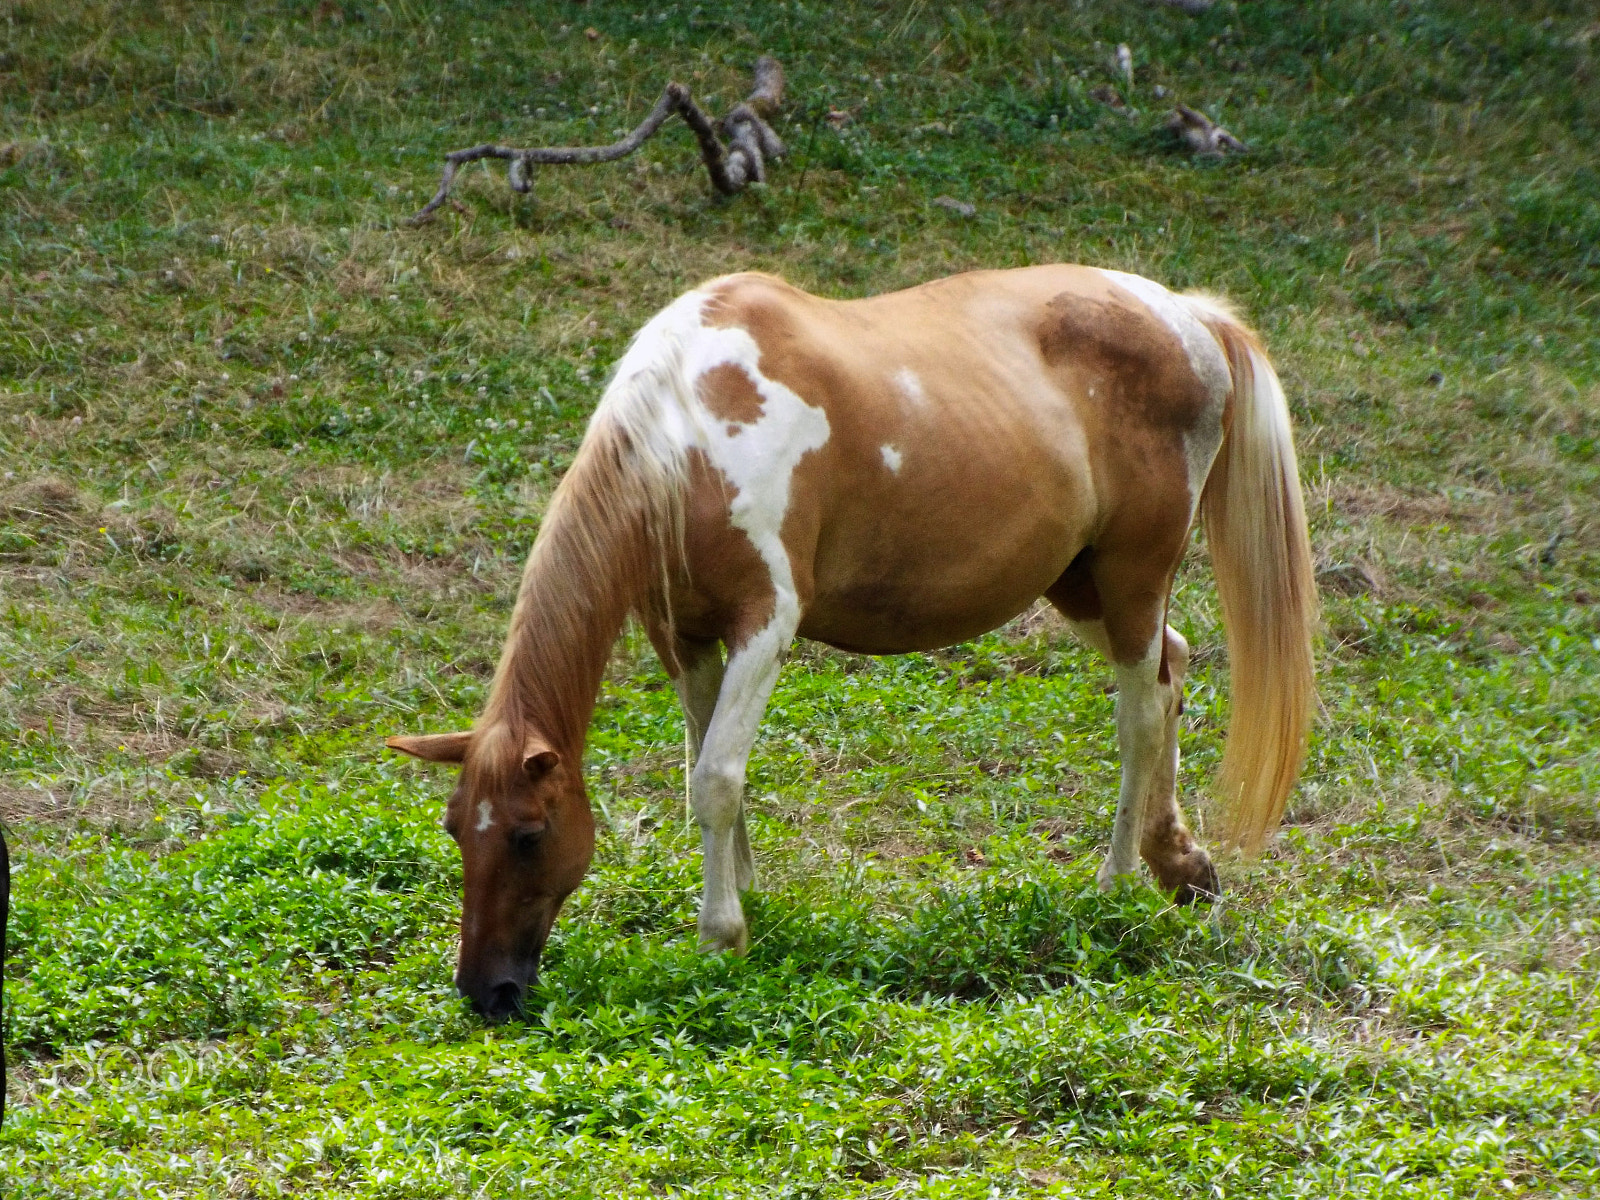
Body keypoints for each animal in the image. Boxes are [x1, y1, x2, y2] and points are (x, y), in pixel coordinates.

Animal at [390, 267, 1312, 1017]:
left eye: (527, 835)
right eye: (453, 829)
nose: (486, 992)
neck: (689, 431)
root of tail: (1186, 314)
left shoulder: (765, 623)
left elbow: (716, 777)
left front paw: (721, 936)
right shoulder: (683, 637)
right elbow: (706, 766)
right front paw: (746, 895)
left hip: (1129, 578)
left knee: (1141, 717)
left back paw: (1115, 883)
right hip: (1080, 583)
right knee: (1172, 668)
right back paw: (1178, 863)